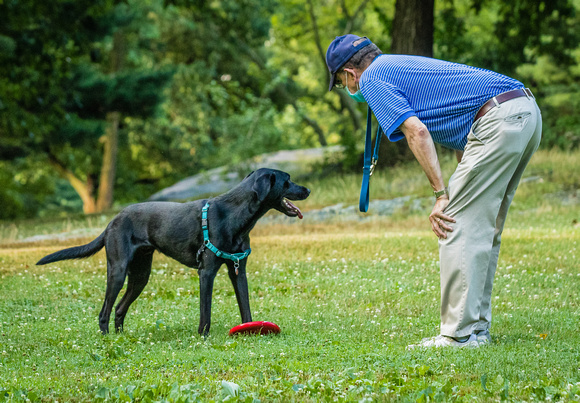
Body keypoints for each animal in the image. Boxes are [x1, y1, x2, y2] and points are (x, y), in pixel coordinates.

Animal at [35, 169, 310, 336]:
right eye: (287, 180)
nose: (307, 190)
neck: (235, 214)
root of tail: (112, 221)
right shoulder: (206, 272)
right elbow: (206, 310)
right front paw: (203, 336)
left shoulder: (237, 270)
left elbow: (246, 307)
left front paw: (251, 330)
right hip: (118, 270)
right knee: (105, 311)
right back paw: (106, 338)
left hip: (140, 275)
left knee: (120, 309)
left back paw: (120, 337)